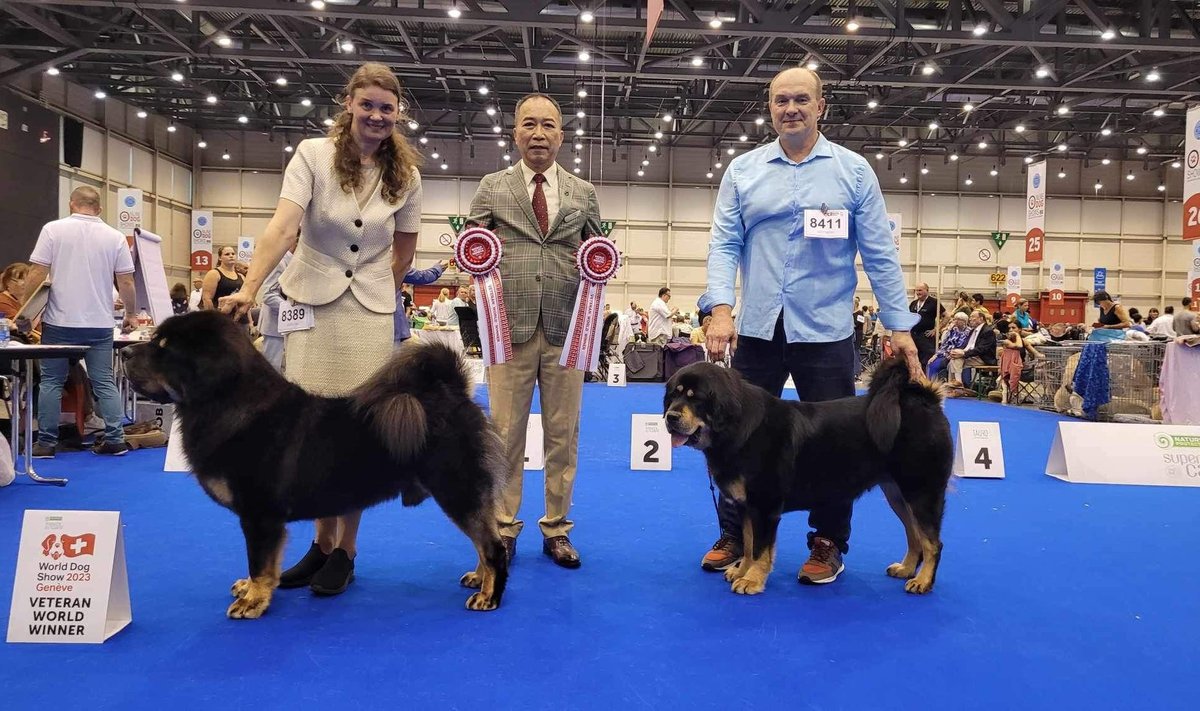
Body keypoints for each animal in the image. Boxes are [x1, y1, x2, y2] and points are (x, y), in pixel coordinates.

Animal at [124, 312, 508, 614]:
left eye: (164, 347)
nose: (125, 350)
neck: (230, 403)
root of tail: (453, 394)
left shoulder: (259, 515)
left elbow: (259, 561)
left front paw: (253, 601)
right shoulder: (262, 518)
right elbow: (264, 564)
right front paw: (250, 588)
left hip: (457, 488)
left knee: (492, 545)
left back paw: (489, 595)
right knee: (484, 539)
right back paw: (478, 579)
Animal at [662, 357, 950, 598]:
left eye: (695, 398)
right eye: (673, 396)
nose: (670, 417)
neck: (738, 427)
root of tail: (927, 401)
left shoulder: (764, 506)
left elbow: (760, 548)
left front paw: (752, 580)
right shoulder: (746, 506)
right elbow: (748, 544)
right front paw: (742, 571)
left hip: (921, 491)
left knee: (932, 542)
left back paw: (923, 581)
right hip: (897, 493)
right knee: (914, 535)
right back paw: (906, 569)